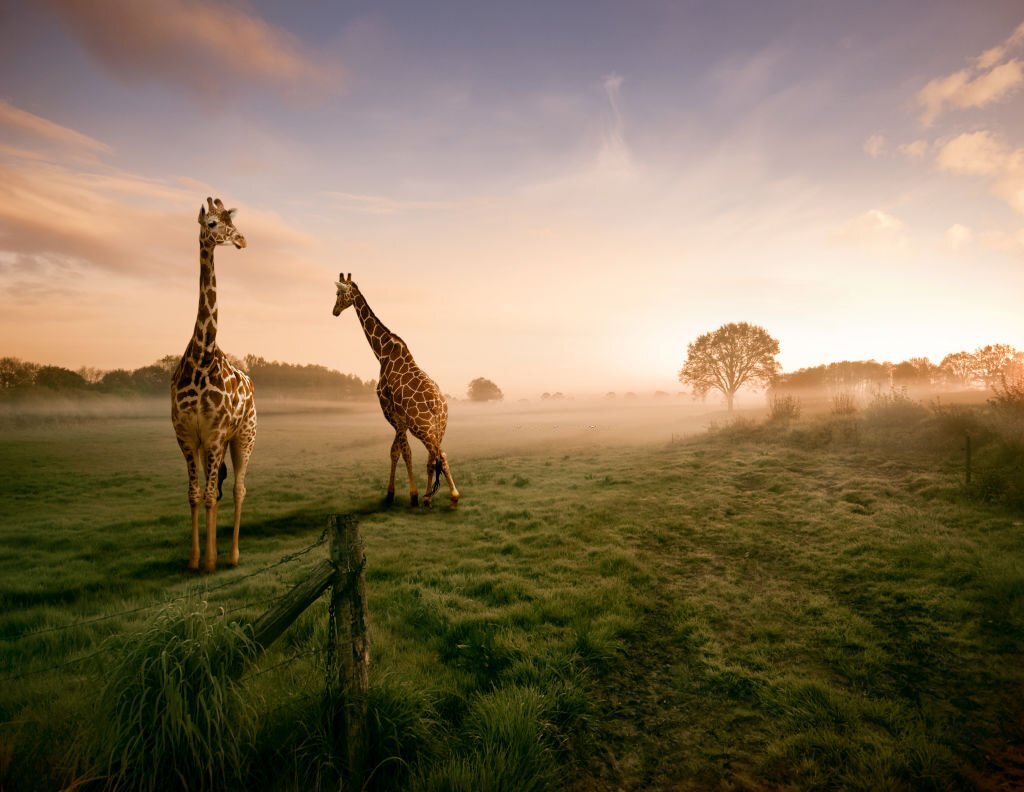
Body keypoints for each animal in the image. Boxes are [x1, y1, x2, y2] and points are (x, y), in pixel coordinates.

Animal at [332, 273, 459, 507]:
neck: (382, 352)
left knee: (440, 455)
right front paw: (399, 493)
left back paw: (452, 496)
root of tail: (437, 405)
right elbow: (396, 450)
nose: (334, 311)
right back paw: (429, 497)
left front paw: (409, 494)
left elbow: (402, 452)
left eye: (338, 293)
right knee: (433, 457)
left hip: (422, 427)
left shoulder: (391, 412)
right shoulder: (400, 419)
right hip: (440, 426)